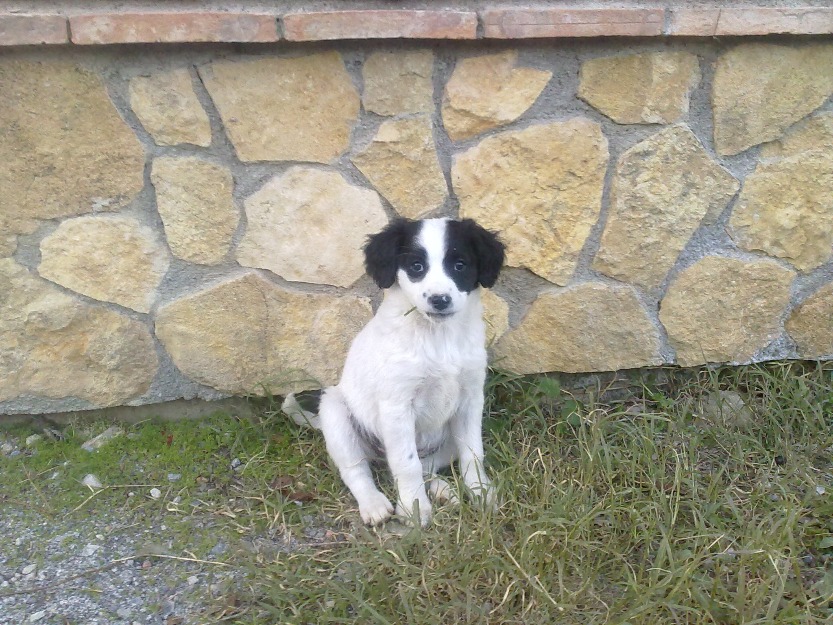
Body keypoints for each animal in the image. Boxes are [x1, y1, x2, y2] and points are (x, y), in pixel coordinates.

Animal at [286, 217, 504, 524]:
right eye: (416, 266)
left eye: (460, 265)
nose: (439, 300)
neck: (438, 338)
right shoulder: (396, 405)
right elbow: (406, 464)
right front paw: (414, 508)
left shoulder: (471, 399)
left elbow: (473, 453)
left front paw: (481, 493)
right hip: (336, 413)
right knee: (357, 470)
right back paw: (374, 504)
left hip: (446, 439)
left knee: (427, 465)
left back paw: (443, 490)